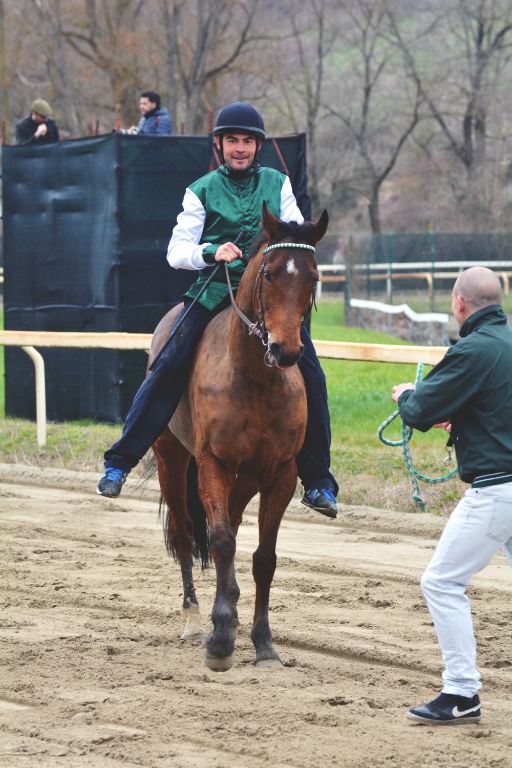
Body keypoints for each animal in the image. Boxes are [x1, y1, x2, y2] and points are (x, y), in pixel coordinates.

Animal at [148, 204, 328, 672]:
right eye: (270, 274)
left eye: (313, 276)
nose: (286, 350)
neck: (253, 379)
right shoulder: (213, 462)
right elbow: (221, 540)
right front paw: (219, 640)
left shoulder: (280, 471)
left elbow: (263, 557)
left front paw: (263, 642)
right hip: (172, 458)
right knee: (185, 532)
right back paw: (196, 618)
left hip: (245, 477)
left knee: (226, 518)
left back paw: (227, 601)